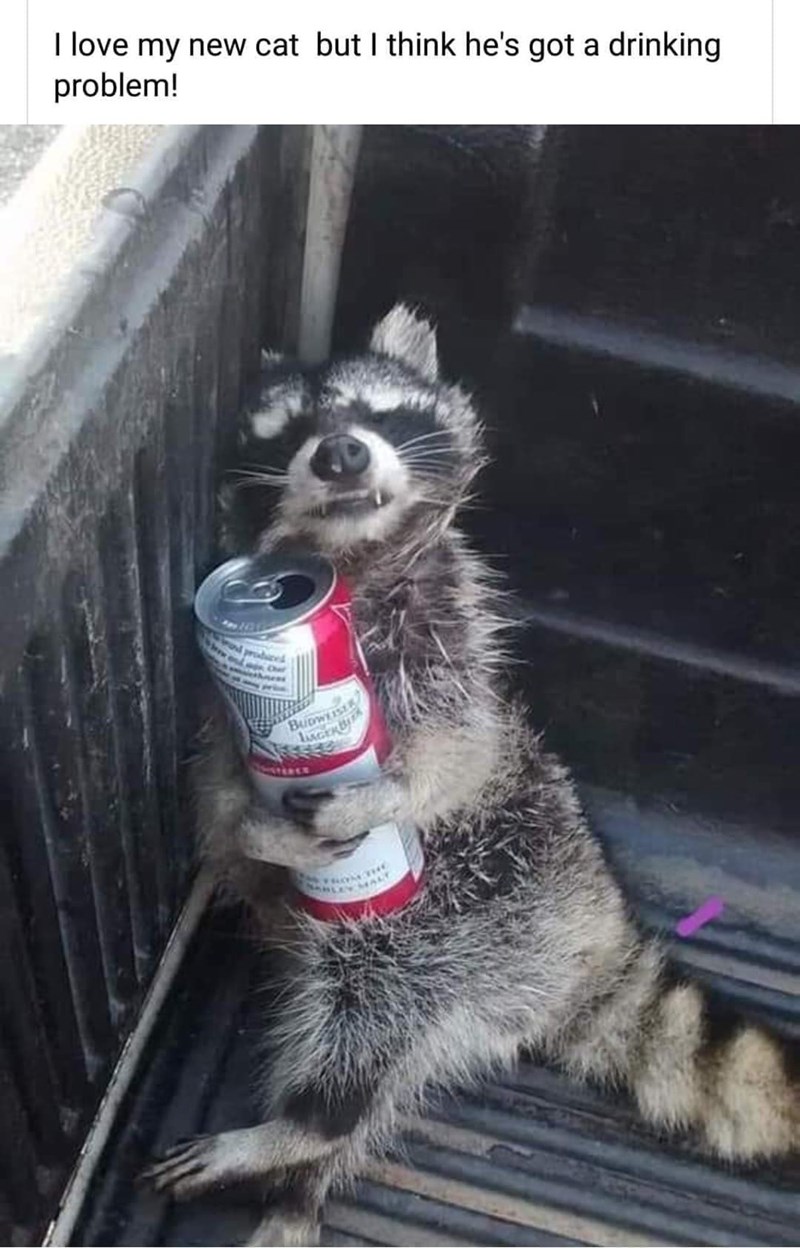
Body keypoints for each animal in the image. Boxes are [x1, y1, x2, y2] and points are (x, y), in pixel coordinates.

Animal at [144, 306, 800, 1246]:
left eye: (375, 413)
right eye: (290, 430)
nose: (339, 453)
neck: (353, 563)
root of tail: (599, 934)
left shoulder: (451, 645)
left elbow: (460, 756)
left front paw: (385, 792)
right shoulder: (222, 705)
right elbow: (221, 792)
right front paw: (255, 826)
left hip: (481, 910)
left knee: (372, 1004)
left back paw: (307, 1128)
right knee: (384, 1054)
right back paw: (301, 1183)